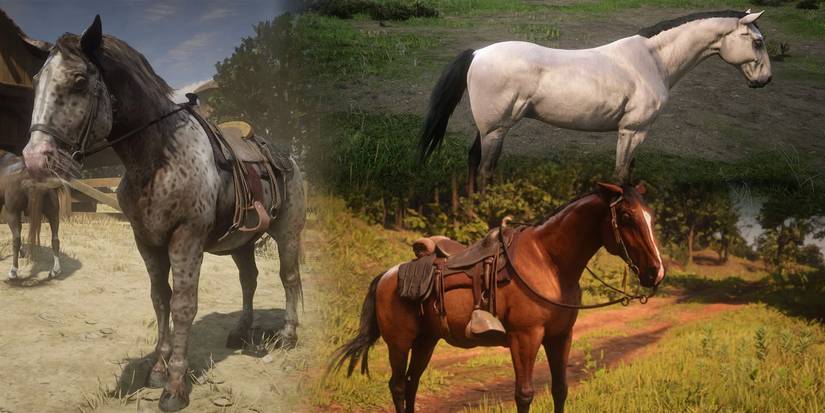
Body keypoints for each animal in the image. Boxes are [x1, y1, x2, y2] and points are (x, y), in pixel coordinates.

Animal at [0, 151, 71, 279]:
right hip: (53, 215)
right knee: (55, 240)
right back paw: (55, 270)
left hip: (12, 213)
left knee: (16, 239)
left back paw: (13, 271)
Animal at [21, 16, 306, 412]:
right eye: (36, 81)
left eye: (79, 80)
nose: (35, 159)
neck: (159, 157)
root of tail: (285, 155)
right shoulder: (146, 241)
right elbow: (161, 300)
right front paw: (157, 369)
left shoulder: (186, 239)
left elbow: (184, 305)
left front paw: (175, 387)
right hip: (242, 242)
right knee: (249, 280)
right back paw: (239, 333)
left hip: (287, 233)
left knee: (289, 278)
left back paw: (288, 334)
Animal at [333, 182, 665, 413]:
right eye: (626, 216)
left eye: (650, 217)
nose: (656, 272)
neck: (549, 262)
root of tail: (387, 275)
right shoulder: (525, 337)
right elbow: (524, 394)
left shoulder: (560, 336)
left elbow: (560, 389)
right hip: (400, 343)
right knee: (399, 386)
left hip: (426, 341)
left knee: (412, 384)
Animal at [419, 10, 772, 190]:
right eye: (757, 41)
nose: (765, 79)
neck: (652, 60)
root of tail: (477, 53)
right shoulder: (633, 131)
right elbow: (621, 175)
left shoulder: (634, 133)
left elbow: (628, 172)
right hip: (496, 130)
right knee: (485, 170)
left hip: (490, 128)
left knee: (473, 160)